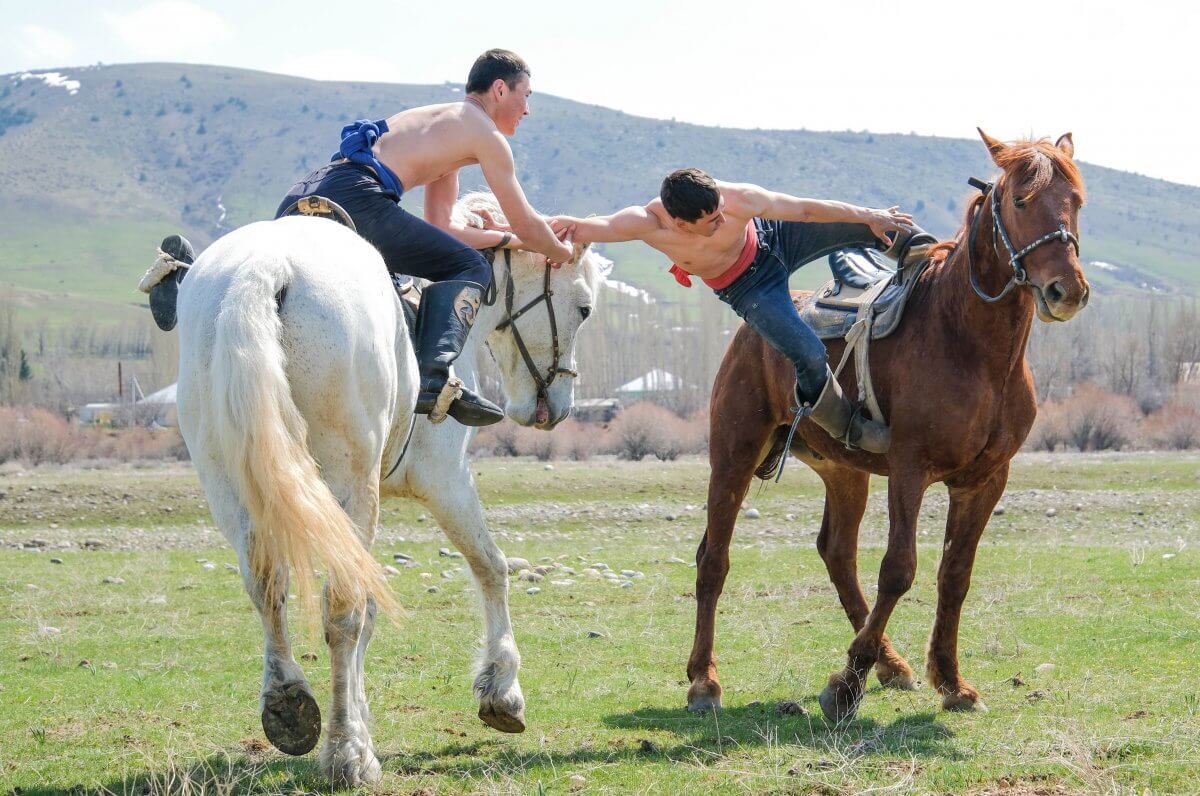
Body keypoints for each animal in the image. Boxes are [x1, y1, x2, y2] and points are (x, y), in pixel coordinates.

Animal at [175, 193, 609, 782]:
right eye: (583, 308)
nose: (557, 408)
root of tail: (262, 270)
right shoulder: (445, 479)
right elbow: (490, 567)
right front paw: (501, 691)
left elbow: (373, 607)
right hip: (349, 483)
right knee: (341, 609)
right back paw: (346, 752)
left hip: (233, 484)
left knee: (267, 588)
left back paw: (290, 706)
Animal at [686, 129, 1089, 720]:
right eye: (1020, 201)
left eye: (1076, 201)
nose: (1067, 290)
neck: (970, 343)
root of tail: (749, 329)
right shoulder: (909, 468)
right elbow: (899, 569)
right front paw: (845, 686)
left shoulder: (985, 480)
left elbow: (955, 574)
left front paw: (950, 680)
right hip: (734, 452)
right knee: (713, 558)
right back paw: (703, 680)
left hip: (844, 473)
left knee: (837, 553)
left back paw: (890, 663)